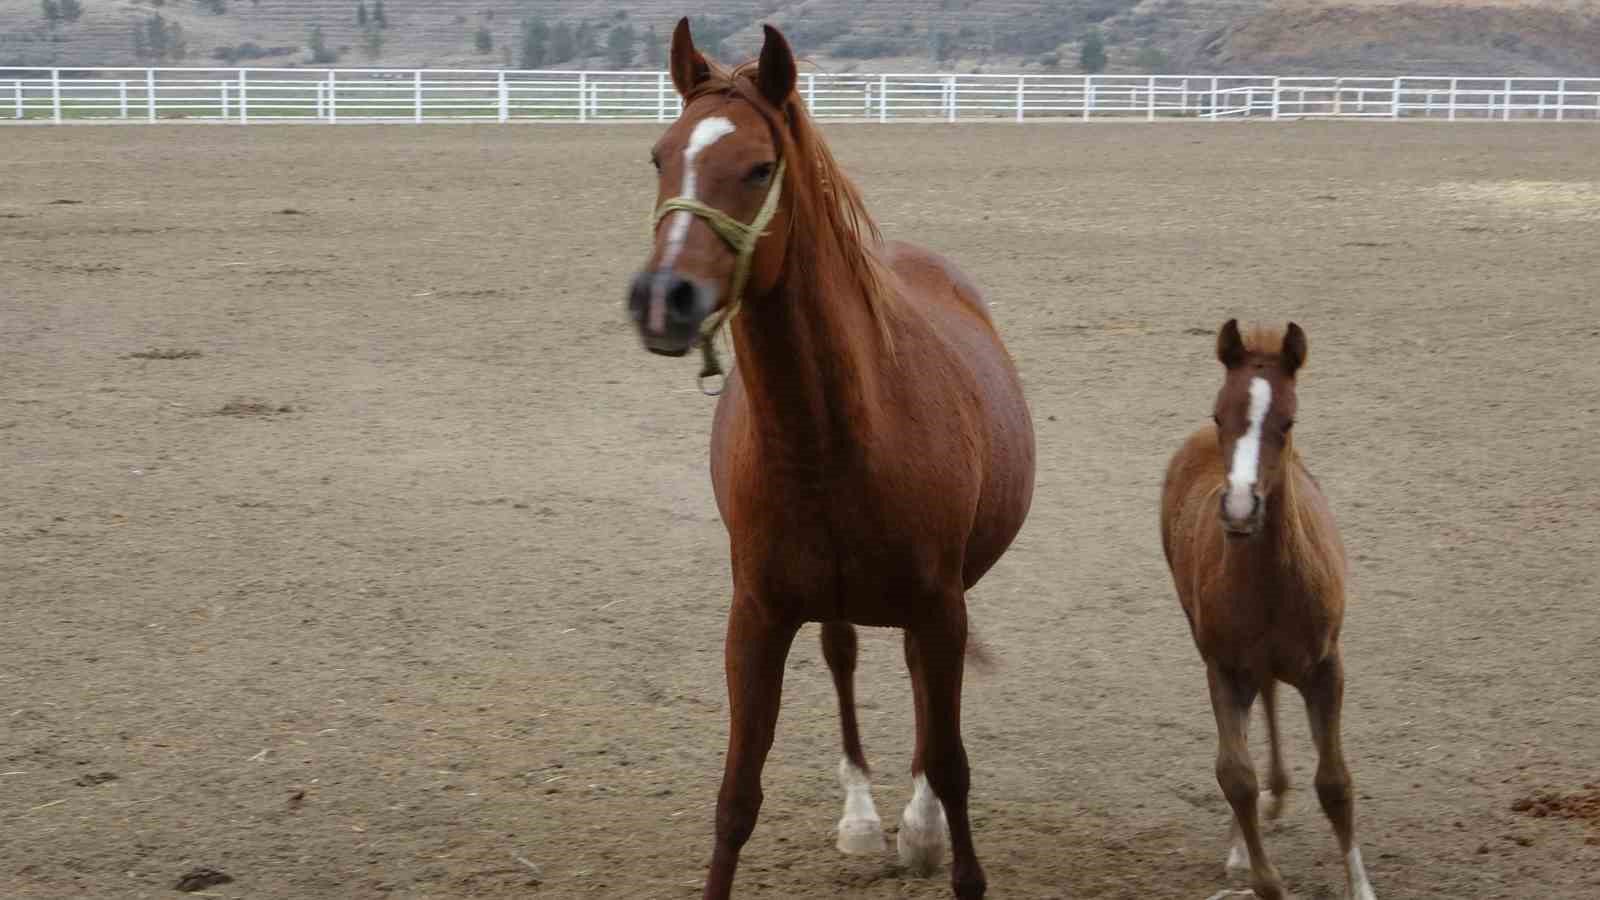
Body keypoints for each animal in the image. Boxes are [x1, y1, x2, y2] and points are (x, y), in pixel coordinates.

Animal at [624, 19, 1036, 896]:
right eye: (660, 156)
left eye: (758, 167)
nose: (661, 299)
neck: (835, 436)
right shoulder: (756, 615)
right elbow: (736, 796)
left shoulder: (942, 606)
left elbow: (952, 766)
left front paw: (944, 843)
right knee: (844, 657)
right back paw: (863, 820)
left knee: (920, 693)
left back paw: (917, 827)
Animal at [1164, 321, 1376, 896]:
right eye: (1220, 414)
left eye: (1288, 421)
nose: (1240, 509)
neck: (1273, 585)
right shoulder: (1223, 666)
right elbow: (1234, 775)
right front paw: (1264, 878)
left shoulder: (1326, 666)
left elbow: (1336, 782)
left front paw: (1361, 886)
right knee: (1262, 701)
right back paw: (1254, 823)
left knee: (1272, 694)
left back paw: (1277, 794)